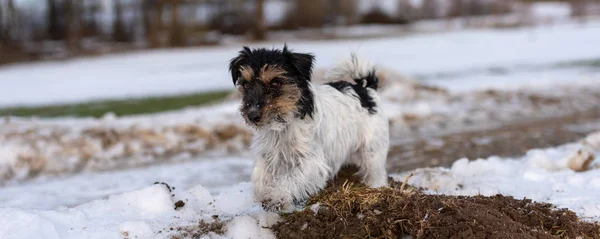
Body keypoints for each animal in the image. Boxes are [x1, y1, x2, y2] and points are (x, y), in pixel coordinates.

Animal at [226, 45, 390, 212]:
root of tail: (367, 89)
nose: (252, 115)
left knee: (375, 172)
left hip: (372, 152)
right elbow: (259, 177)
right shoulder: (267, 156)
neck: (282, 124)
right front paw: (264, 194)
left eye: (275, 83)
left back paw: (376, 189)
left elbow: (291, 179)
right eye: (246, 84)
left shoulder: (312, 163)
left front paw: (277, 197)